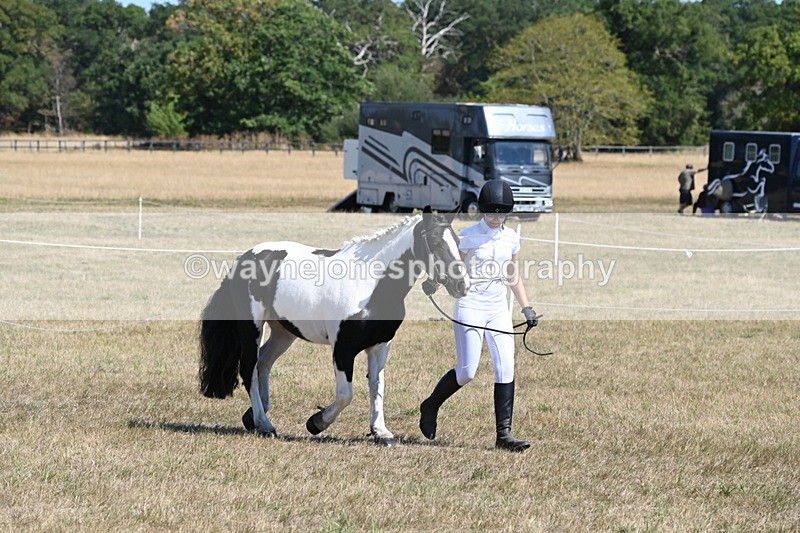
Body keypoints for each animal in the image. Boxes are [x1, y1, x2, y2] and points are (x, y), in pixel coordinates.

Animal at [198, 208, 470, 446]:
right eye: (435, 242)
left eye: (457, 241)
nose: (462, 285)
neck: (369, 283)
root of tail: (244, 258)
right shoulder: (343, 348)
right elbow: (345, 394)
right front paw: (316, 422)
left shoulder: (381, 346)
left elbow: (377, 387)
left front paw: (381, 432)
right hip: (252, 326)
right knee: (249, 369)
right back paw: (265, 424)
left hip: (283, 332)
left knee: (263, 363)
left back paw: (255, 416)